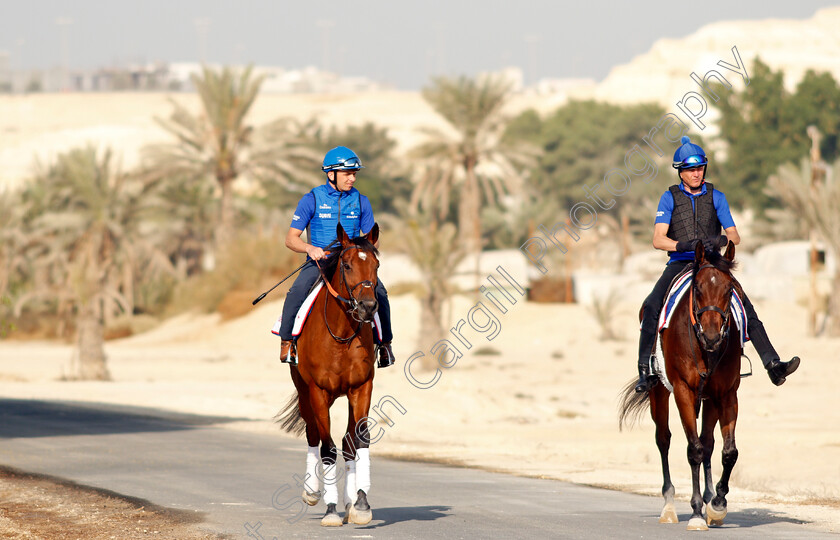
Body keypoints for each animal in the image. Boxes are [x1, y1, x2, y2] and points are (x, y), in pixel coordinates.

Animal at [278, 221, 378, 524]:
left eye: (377, 265)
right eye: (346, 265)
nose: (368, 307)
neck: (341, 334)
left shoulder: (361, 387)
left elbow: (358, 440)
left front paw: (360, 503)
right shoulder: (318, 392)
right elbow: (327, 448)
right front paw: (331, 508)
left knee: (346, 441)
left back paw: (349, 501)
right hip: (305, 393)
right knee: (313, 434)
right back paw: (312, 492)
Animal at [616, 242, 740, 532]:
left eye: (729, 289)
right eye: (698, 288)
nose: (712, 336)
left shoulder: (727, 393)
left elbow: (728, 452)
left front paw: (717, 504)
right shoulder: (683, 391)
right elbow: (693, 450)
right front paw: (696, 513)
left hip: (709, 399)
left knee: (708, 442)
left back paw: (709, 498)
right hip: (659, 393)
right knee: (664, 439)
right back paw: (669, 505)